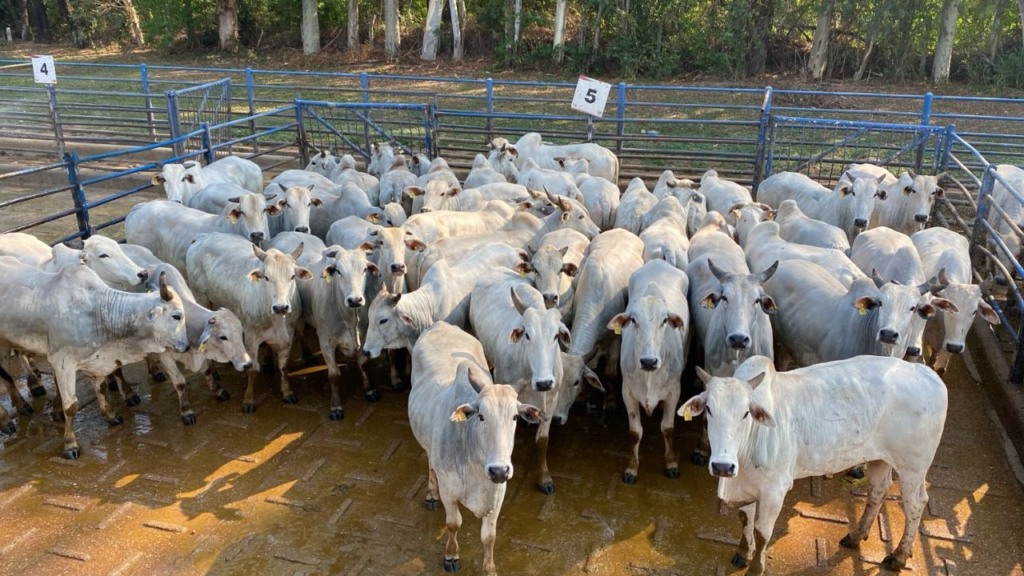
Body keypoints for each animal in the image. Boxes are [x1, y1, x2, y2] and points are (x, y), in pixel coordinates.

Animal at [184, 230, 311, 409]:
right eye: (266, 277)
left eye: (292, 276)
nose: (281, 307)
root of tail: (202, 237)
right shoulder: (251, 335)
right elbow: (252, 369)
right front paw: (249, 400)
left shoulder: (288, 334)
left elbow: (284, 366)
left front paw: (287, 392)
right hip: (201, 298)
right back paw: (214, 371)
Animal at [405, 317, 544, 573]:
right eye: (480, 416)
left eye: (515, 417)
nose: (499, 470)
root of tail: (441, 324)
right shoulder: (449, 491)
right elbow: (453, 523)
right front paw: (451, 555)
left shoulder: (498, 493)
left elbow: (489, 536)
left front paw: (489, 568)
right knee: (430, 461)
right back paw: (430, 493)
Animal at [602, 258, 692, 481]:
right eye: (634, 320)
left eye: (664, 321)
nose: (649, 361)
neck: (650, 376)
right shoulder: (628, 392)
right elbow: (635, 432)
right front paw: (631, 468)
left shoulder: (674, 392)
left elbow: (668, 428)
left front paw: (671, 463)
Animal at [684, 354, 946, 573]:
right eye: (708, 409)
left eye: (746, 413)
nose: (722, 466)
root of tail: (927, 374)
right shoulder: (748, 484)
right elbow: (745, 519)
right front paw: (742, 553)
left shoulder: (774, 490)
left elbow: (762, 532)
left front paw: (756, 568)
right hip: (879, 459)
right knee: (878, 492)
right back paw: (856, 536)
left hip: (913, 467)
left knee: (915, 504)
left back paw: (899, 556)